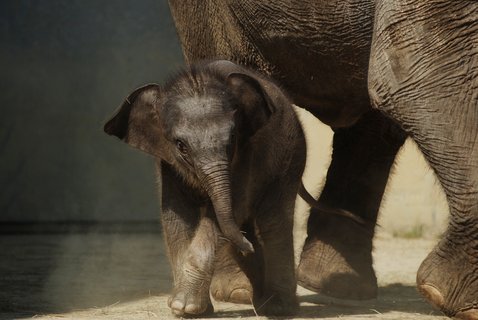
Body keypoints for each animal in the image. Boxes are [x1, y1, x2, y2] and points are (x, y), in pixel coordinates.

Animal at [104, 60, 306, 318]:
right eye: (181, 145)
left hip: (291, 157)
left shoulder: (248, 153)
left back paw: (279, 307)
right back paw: (260, 299)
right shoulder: (167, 163)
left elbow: (232, 207)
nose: (247, 248)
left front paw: (184, 306)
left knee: (273, 221)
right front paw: (187, 309)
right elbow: (176, 218)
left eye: (233, 138)